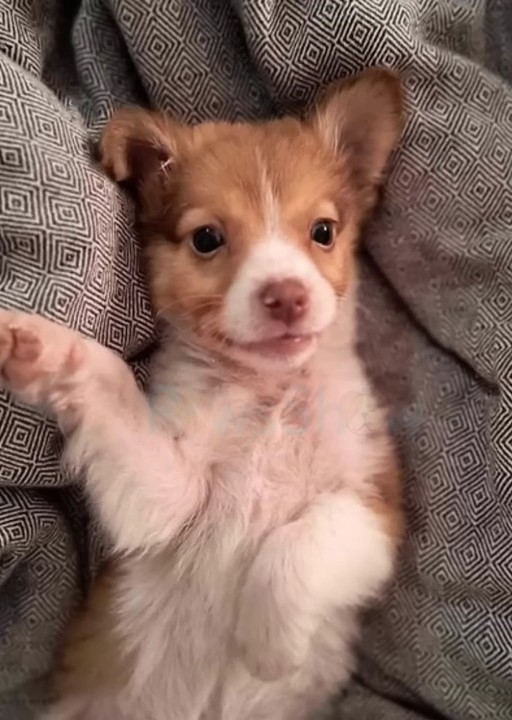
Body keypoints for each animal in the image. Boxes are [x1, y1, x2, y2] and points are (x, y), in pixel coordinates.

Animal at [0, 67, 404, 720]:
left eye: (322, 232)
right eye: (208, 239)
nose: (287, 295)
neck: (270, 394)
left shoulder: (375, 505)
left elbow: (300, 540)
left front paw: (270, 647)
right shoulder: (168, 502)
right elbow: (109, 379)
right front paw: (39, 345)